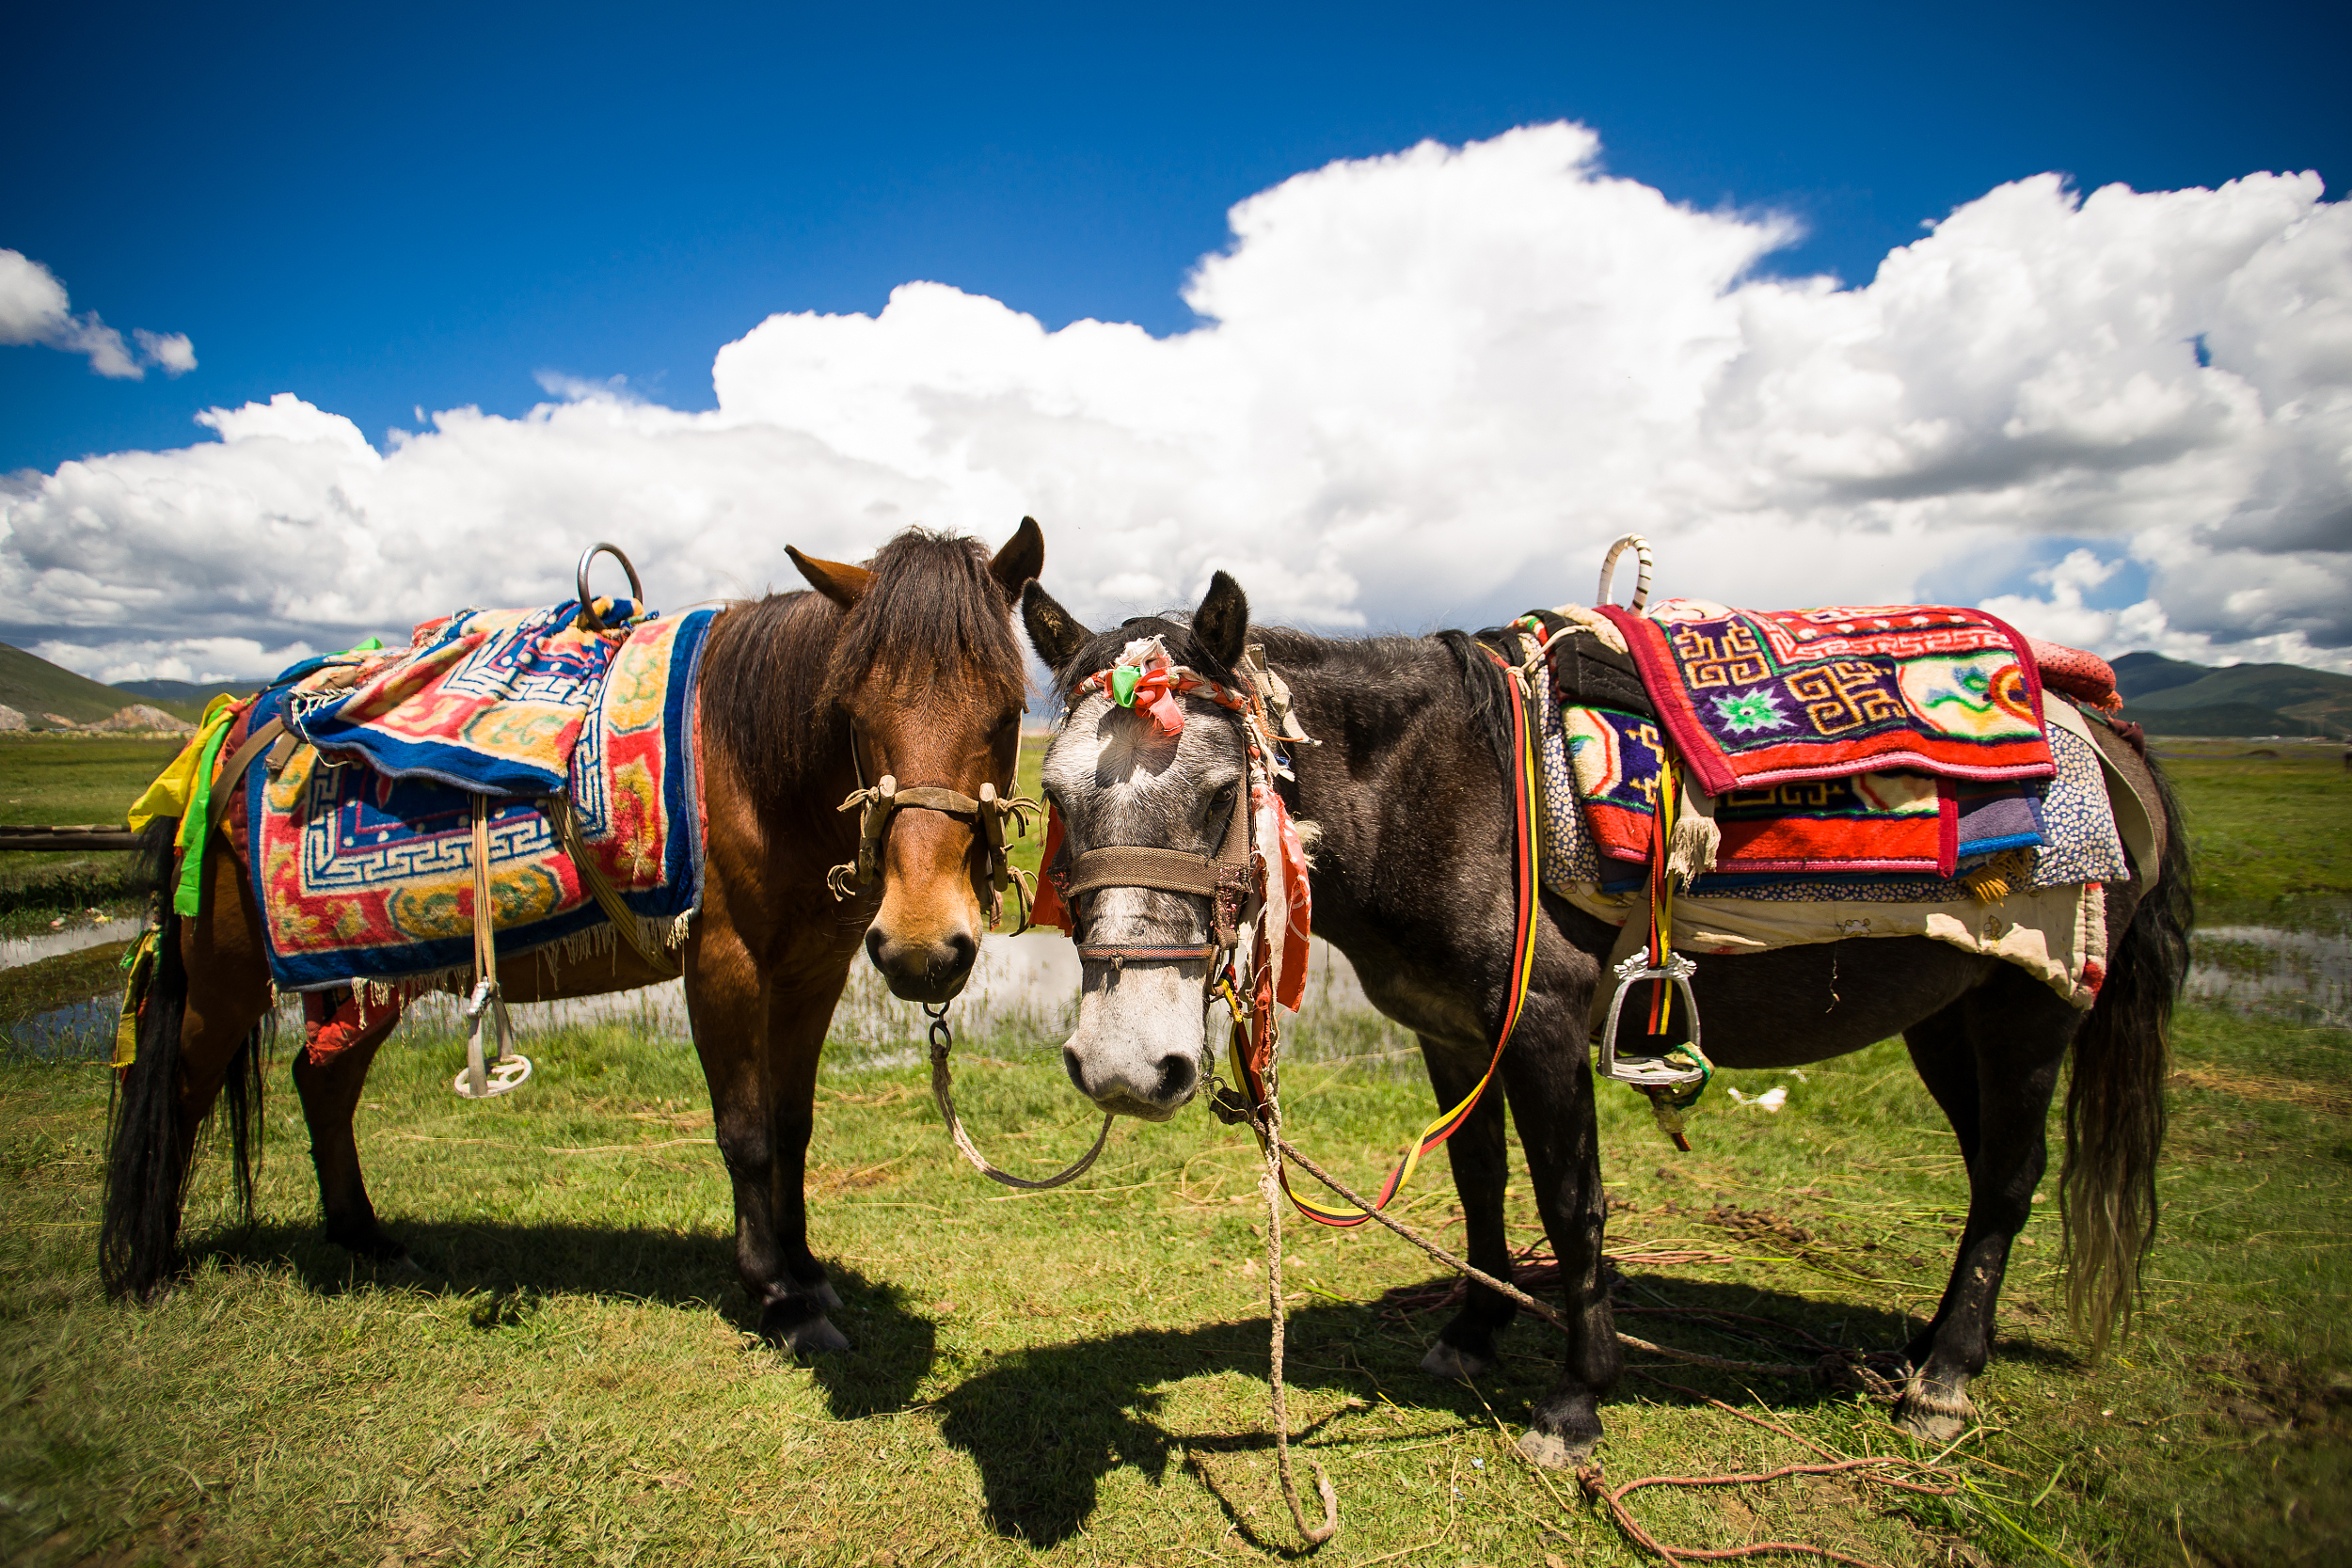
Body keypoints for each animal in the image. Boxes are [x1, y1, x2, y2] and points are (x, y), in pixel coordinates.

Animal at [101, 521, 1040, 1354]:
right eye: (850, 707)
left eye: (1009, 710)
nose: (924, 945)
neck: (749, 769)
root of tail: (236, 727)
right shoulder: (725, 966)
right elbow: (746, 1131)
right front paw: (780, 1297)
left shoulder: (813, 971)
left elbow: (793, 1124)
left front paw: (807, 1268)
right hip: (224, 974)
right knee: (177, 1086)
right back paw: (146, 1269)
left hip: (371, 975)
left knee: (321, 1080)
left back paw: (368, 1240)